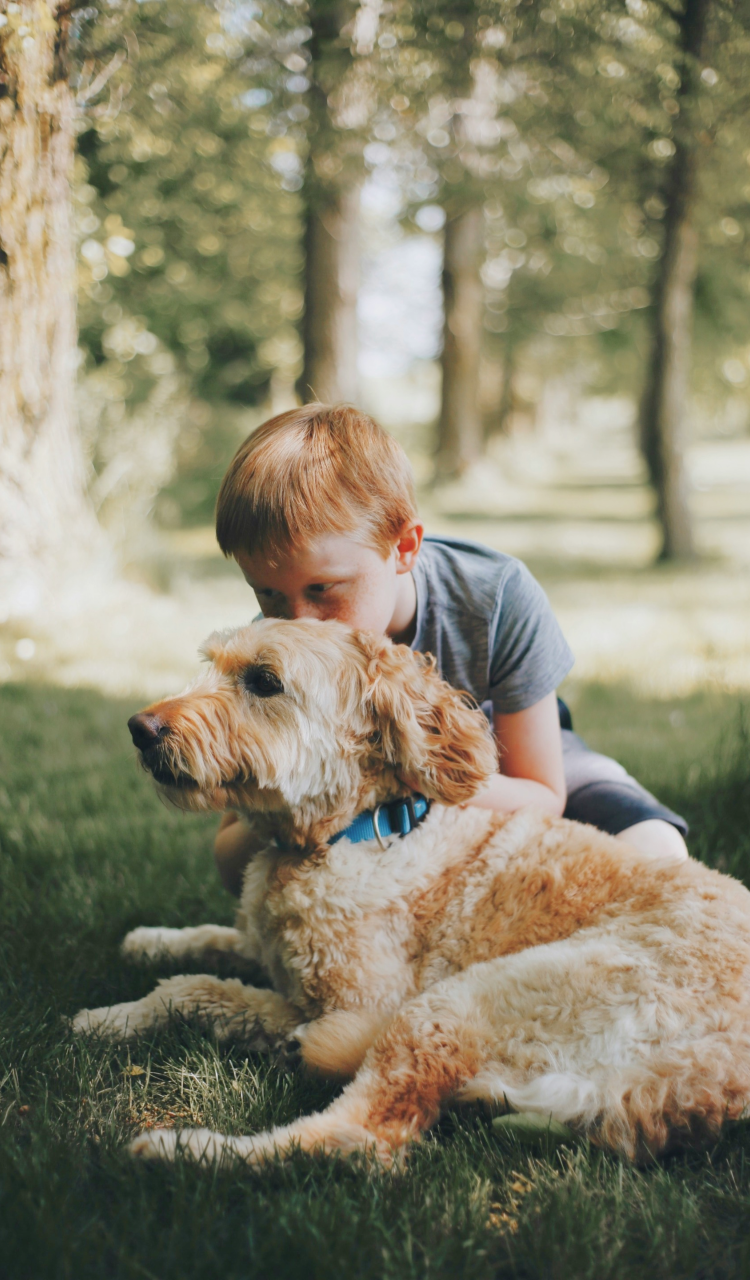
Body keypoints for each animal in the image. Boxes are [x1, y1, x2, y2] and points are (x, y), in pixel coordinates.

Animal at [72, 619, 747, 1172]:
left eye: (264, 681)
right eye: (212, 662)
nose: (139, 729)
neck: (358, 829)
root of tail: (714, 1081)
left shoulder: (354, 1001)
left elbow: (202, 990)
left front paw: (108, 1017)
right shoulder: (268, 948)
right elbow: (213, 947)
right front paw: (149, 945)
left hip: (461, 1003)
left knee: (361, 1140)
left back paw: (185, 1151)